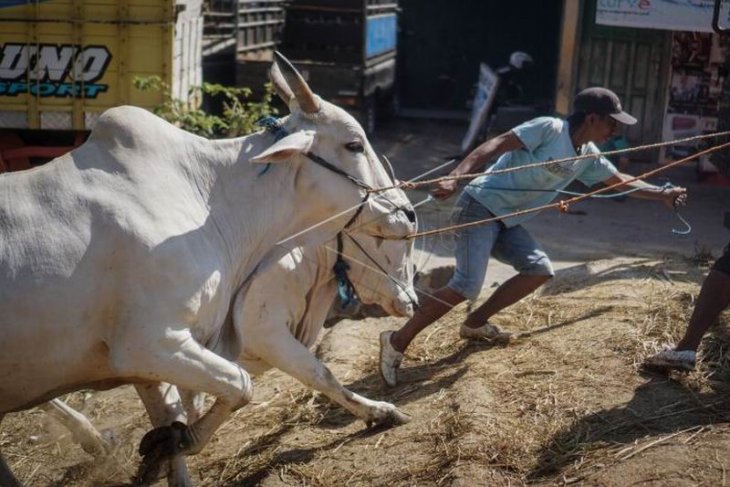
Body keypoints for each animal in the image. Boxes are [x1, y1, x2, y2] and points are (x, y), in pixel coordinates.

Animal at [0, 53, 416, 487]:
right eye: (354, 144)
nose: (408, 213)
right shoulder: (156, 343)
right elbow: (263, 383)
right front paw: (176, 441)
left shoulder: (154, 364)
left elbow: (177, 414)